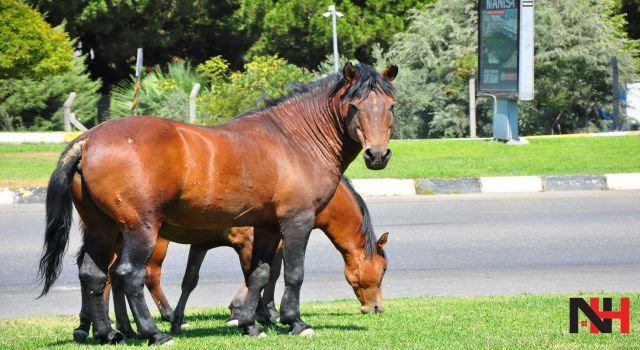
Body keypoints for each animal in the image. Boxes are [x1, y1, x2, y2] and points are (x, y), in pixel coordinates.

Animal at [38, 62, 396, 344]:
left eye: (391, 106)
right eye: (355, 106)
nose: (377, 155)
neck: (294, 140)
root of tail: (88, 140)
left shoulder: (266, 228)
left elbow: (259, 275)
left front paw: (251, 324)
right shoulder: (297, 222)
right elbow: (293, 273)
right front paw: (294, 321)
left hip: (103, 228)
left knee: (94, 273)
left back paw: (106, 333)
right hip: (141, 229)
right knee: (128, 274)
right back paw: (153, 333)